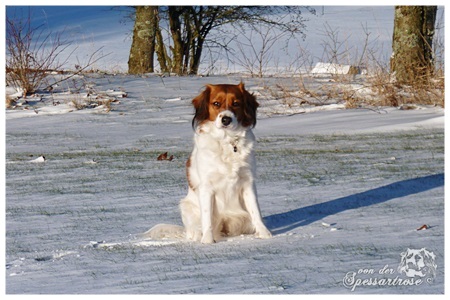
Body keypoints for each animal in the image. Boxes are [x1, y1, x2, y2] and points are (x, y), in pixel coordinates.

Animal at [144, 82, 270, 244]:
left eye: (236, 103)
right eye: (216, 103)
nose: (226, 119)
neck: (226, 141)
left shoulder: (248, 182)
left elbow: (256, 211)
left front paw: (265, 234)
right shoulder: (207, 187)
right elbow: (207, 217)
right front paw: (208, 241)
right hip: (186, 206)